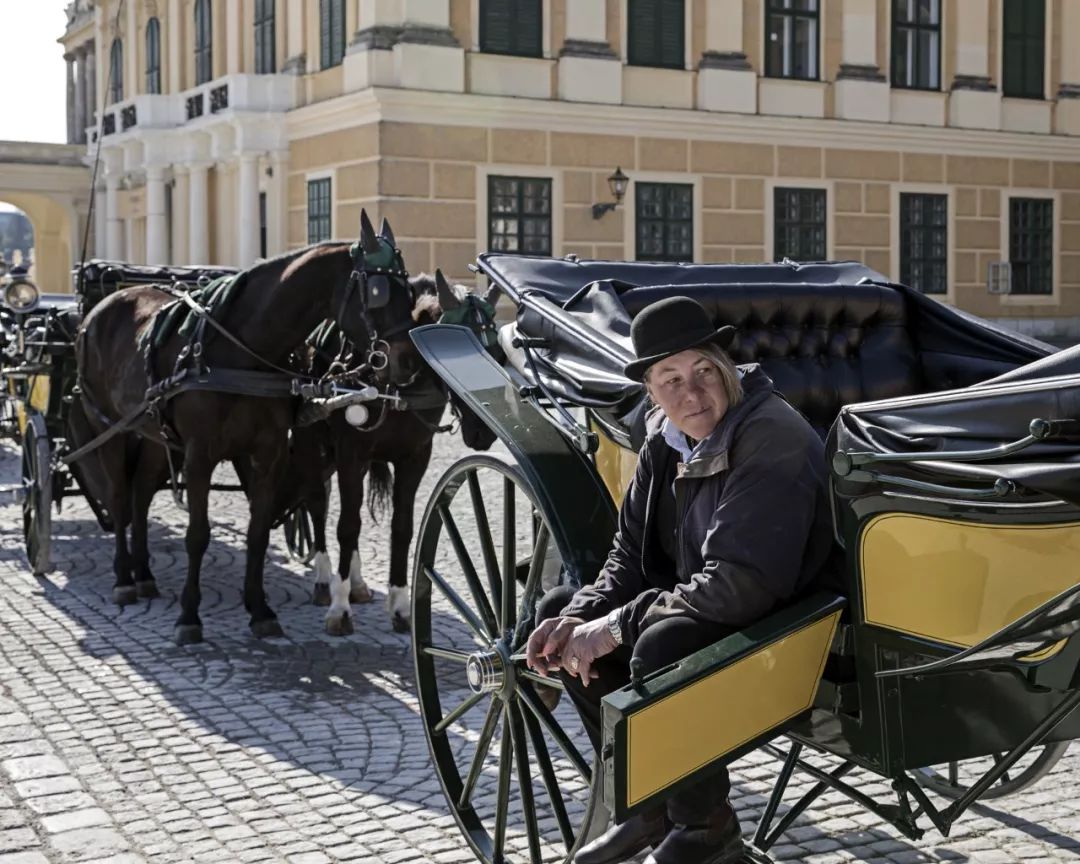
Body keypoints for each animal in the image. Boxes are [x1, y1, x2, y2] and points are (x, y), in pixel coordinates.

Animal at [70, 210, 416, 639]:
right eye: (379, 291)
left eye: (410, 291)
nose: (409, 361)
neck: (241, 350)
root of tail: (98, 310)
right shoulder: (199, 456)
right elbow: (197, 535)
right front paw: (189, 616)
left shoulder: (267, 453)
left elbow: (258, 531)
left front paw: (260, 609)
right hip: (111, 426)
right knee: (119, 497)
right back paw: (123, 578)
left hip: (152, 435)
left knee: (140, 494)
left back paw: (144, 573)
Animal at [276, 270, 498, 635]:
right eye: (452, 352)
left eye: (497, 352)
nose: (484, 432)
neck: (396, 385)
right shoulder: (351, 454)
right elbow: (346, 525)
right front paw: (339, 607)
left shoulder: (414, 458)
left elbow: (402, 528)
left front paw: (400, 606)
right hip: (312, 443)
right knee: (317, 504)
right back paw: (324, 579)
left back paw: (356, 581)